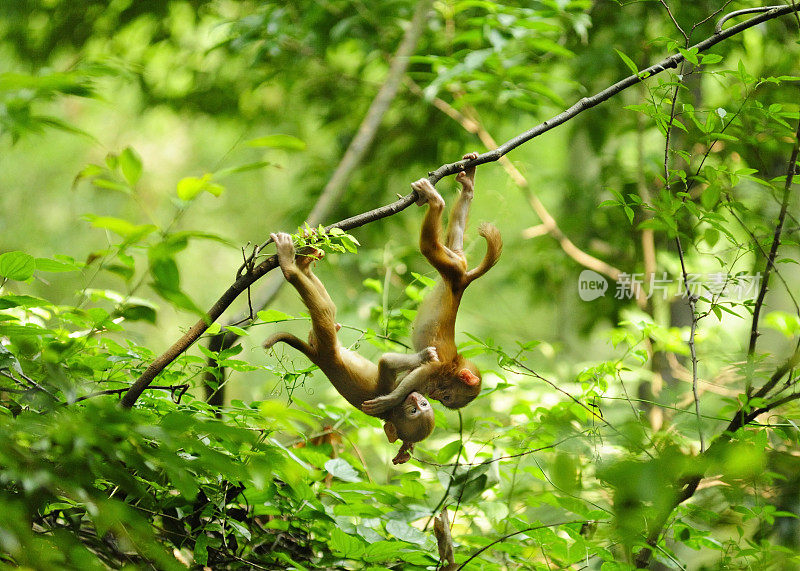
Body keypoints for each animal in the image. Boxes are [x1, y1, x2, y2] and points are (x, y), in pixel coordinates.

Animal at [262, 232, 438, 464]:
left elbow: (388, 365)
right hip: (327, 340)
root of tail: (319, 357)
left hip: (326, 342)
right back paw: (303, 261)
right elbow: (400, 368)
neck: (391, 411)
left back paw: (292, 266)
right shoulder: (400, 386)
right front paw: (425, 356)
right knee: (327, 308)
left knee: (323, 310)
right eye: (416, 409)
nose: (419, 400)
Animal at [360, 153, 500, 416]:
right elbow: (418, 373)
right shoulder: (436, 368)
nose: (434, 395)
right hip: (452, 270)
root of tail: (465, 280)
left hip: (454, 260)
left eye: (445, 399)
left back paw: (468, 187)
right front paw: (391, 399)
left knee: (453, 238)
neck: (453, 365)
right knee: (428, 245)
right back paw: (436, 201)